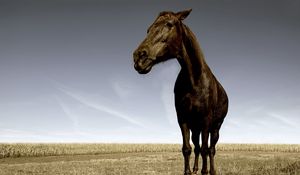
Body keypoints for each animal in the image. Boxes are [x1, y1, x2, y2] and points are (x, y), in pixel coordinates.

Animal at [132, 9, 229, 175]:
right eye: (148, 29)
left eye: (169, 24)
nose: (139, 57)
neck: (195, 80)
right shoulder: (183, 119)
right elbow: (187, 149)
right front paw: (189, 171)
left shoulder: (206, 120)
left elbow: (205, 149)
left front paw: (205, 171)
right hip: (196, 128)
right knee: (197, 147)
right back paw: (196, 168)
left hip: (215, 127)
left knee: (211, 149)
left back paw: (212, 170)